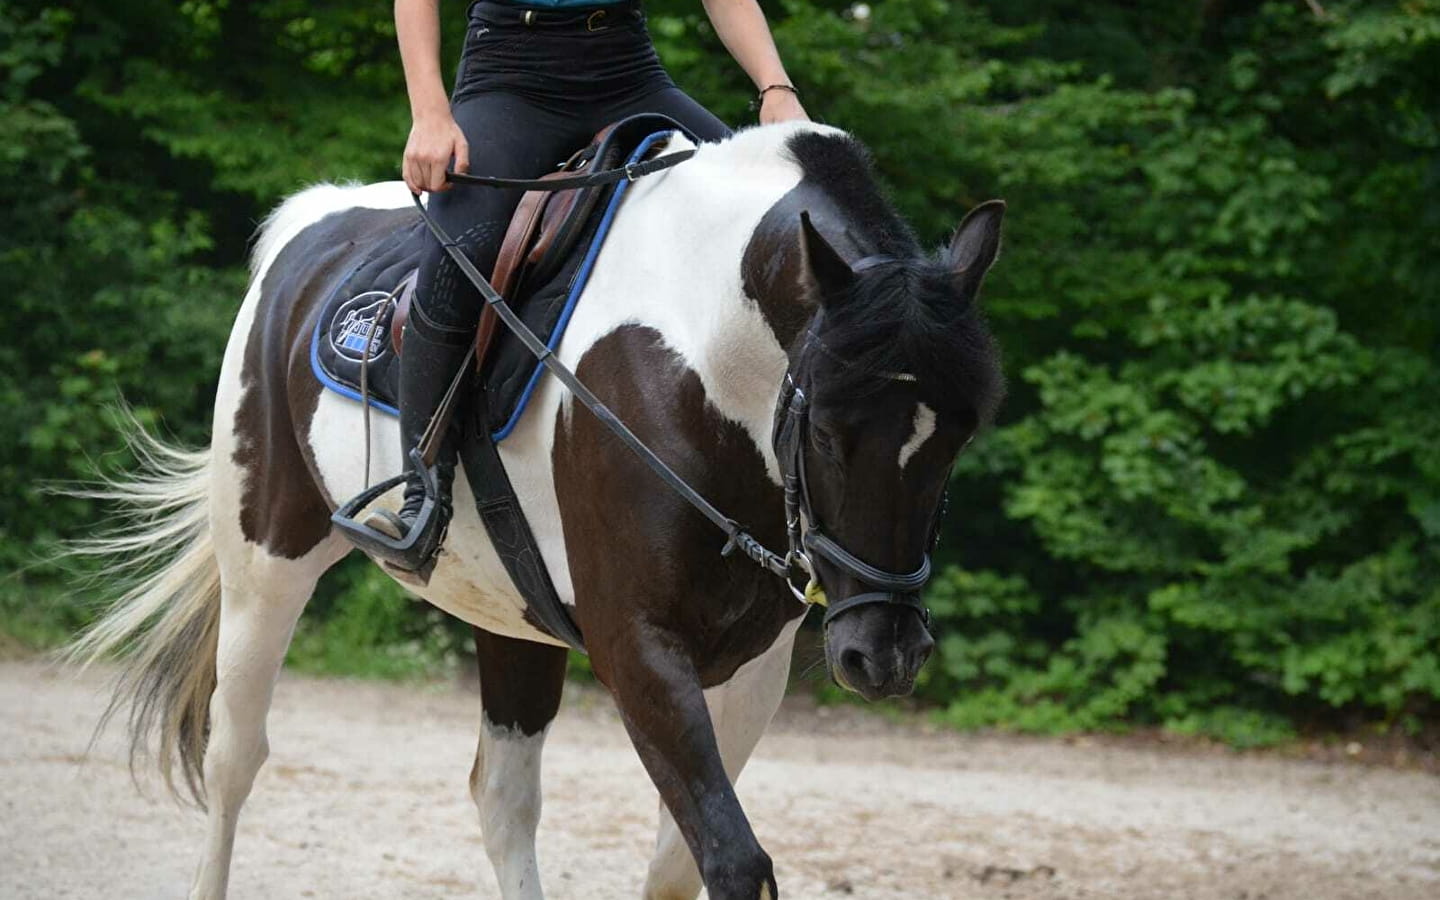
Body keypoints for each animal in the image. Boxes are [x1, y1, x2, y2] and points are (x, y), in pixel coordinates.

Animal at [64, 120, 1002, 898]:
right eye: (830, 428)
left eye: (963, 433)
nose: (884, 654)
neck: (701, 356)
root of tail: (316, 216)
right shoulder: (636, 647)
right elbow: (733, 860)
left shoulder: (754, 666)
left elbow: (681, 862)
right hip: (265, 562)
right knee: (233, 758)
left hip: (511, 613)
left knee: (502, 798)